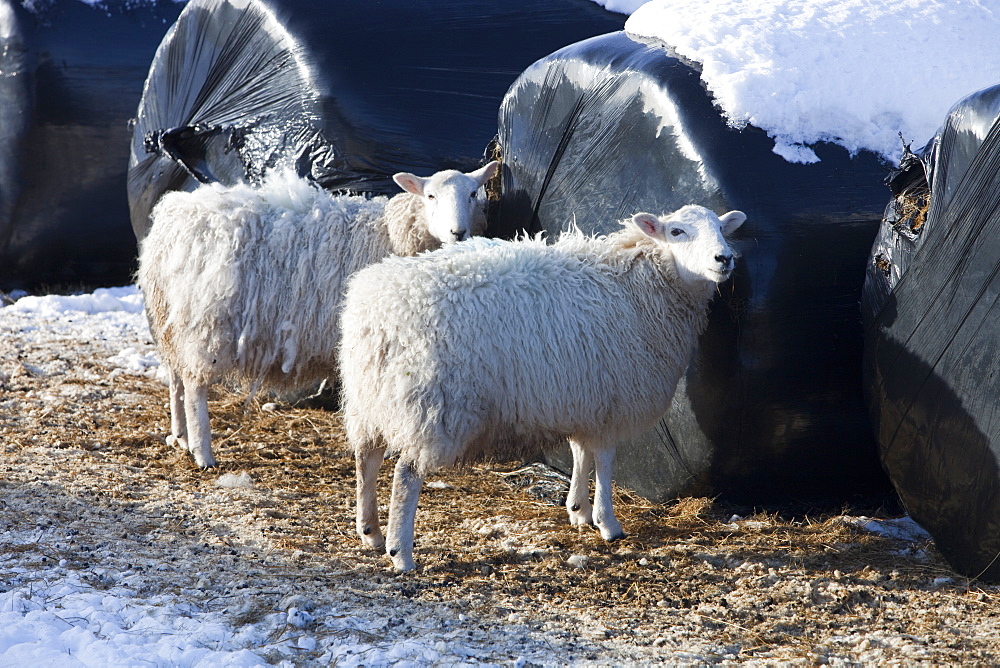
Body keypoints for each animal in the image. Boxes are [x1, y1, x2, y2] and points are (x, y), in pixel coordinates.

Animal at [135, 159, 500, 468]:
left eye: (473, 193)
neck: (388, 232)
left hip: (170, 314)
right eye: (431, 195)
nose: (458, 233)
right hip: (205, 318)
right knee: (194, 384)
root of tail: (173, 218)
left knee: (175, 376)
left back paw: (180, 436)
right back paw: (202, 452)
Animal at [340, 202, 748, 568]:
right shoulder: (611, 400)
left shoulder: (585, 398)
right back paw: (401, 552)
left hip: (370, 399)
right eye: (677, 231)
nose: (725, 258)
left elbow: (580, 452)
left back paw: (370, 532)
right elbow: (605, 462)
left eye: (721, 228)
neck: (640, 286)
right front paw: (608, 523)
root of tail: (379, 313)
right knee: (405, 475)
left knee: (366, 458)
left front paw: (578, 510)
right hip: (433, 405)